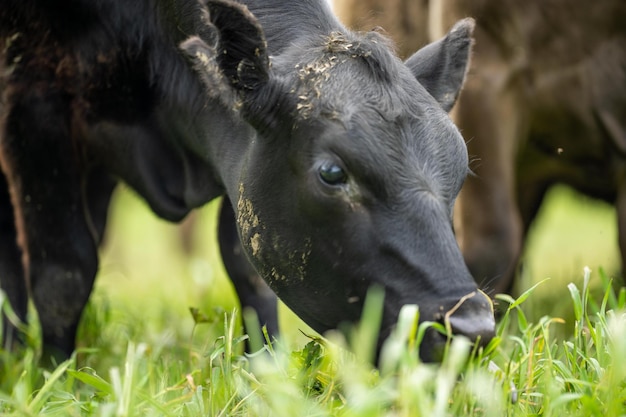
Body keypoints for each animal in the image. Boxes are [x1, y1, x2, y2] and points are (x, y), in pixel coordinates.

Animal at [1, 0, 492, 360]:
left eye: (460, 171)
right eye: (332, 173)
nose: (472, 327)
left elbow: (246, 269)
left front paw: (264, 370)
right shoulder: (33, 105)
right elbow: (64, 273)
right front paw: (57, 377)